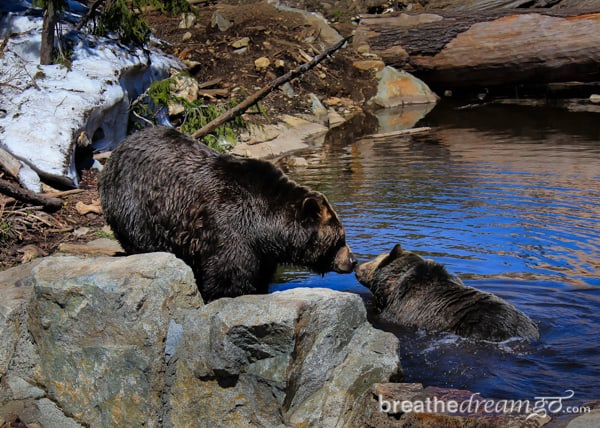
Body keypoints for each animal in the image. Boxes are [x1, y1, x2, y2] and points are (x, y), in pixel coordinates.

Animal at [98, 125, 356, 302]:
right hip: (137, 206)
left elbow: (260, 274)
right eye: (339, 238)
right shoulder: (228, 225)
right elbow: (228, 274)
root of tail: (118, 149)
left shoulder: (261, 250)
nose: (352, 260)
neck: (265, 227)